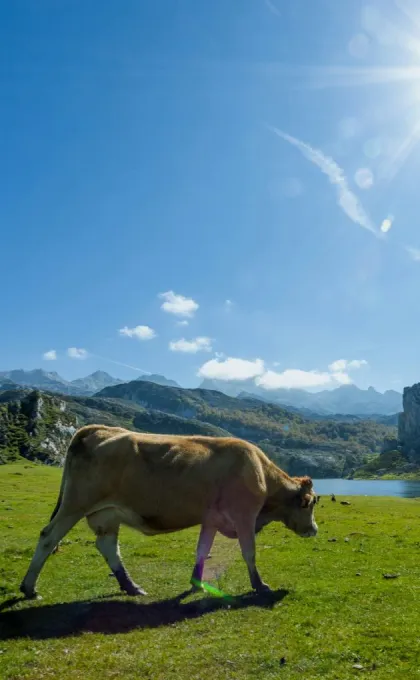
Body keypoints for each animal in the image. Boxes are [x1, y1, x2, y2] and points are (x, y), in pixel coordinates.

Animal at [20, 424, 318, 599]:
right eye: (310, 503)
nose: (314, 530)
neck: (260, 473)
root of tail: (98, 429)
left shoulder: (211, 519)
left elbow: (202, 551)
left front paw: (197, 584)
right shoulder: (244, 516)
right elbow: (249, 552)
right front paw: (260, 585)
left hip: (107, 514)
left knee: (108, 547)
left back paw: (131, 586)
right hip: (76, 503)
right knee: (48, 537)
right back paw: (29, 588)